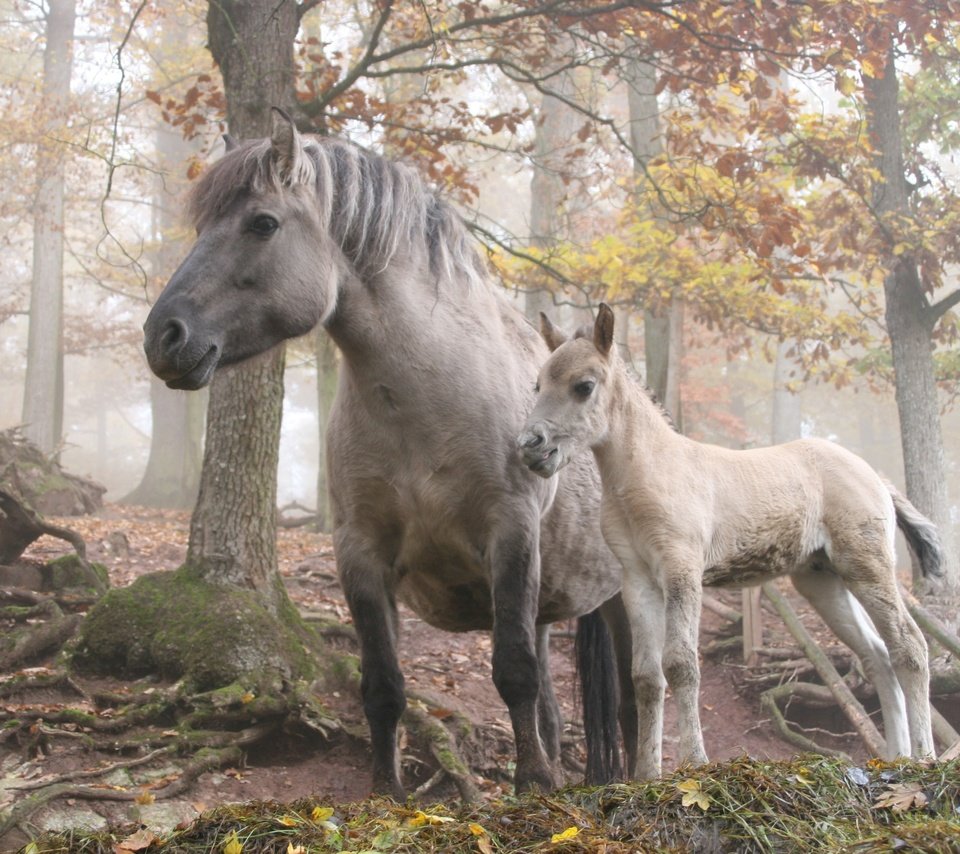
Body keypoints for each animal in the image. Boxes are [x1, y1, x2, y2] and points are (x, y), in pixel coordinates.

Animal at [142, 110, 632, 800]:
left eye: (262, 223)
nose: (163, 337)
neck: (424, 403)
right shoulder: (361, 551)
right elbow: (382, 686)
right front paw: (387, 792)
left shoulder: (510, 532)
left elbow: (513, 672)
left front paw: (533, 785)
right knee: (554, 707)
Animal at [516, 306, 936, 784]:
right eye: (538, 385)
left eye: (583, 386)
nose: (531, 447)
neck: (648, 474)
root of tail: (876, 478)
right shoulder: (638, 581)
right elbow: (646, 676)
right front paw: (646, 775)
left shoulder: (682, 571)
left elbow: (681, 664)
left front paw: (695, 763)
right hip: (823, 582)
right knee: (877, 656)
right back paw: (895, 759)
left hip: (867, 566)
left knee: (910, 646)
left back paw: (924, 757)